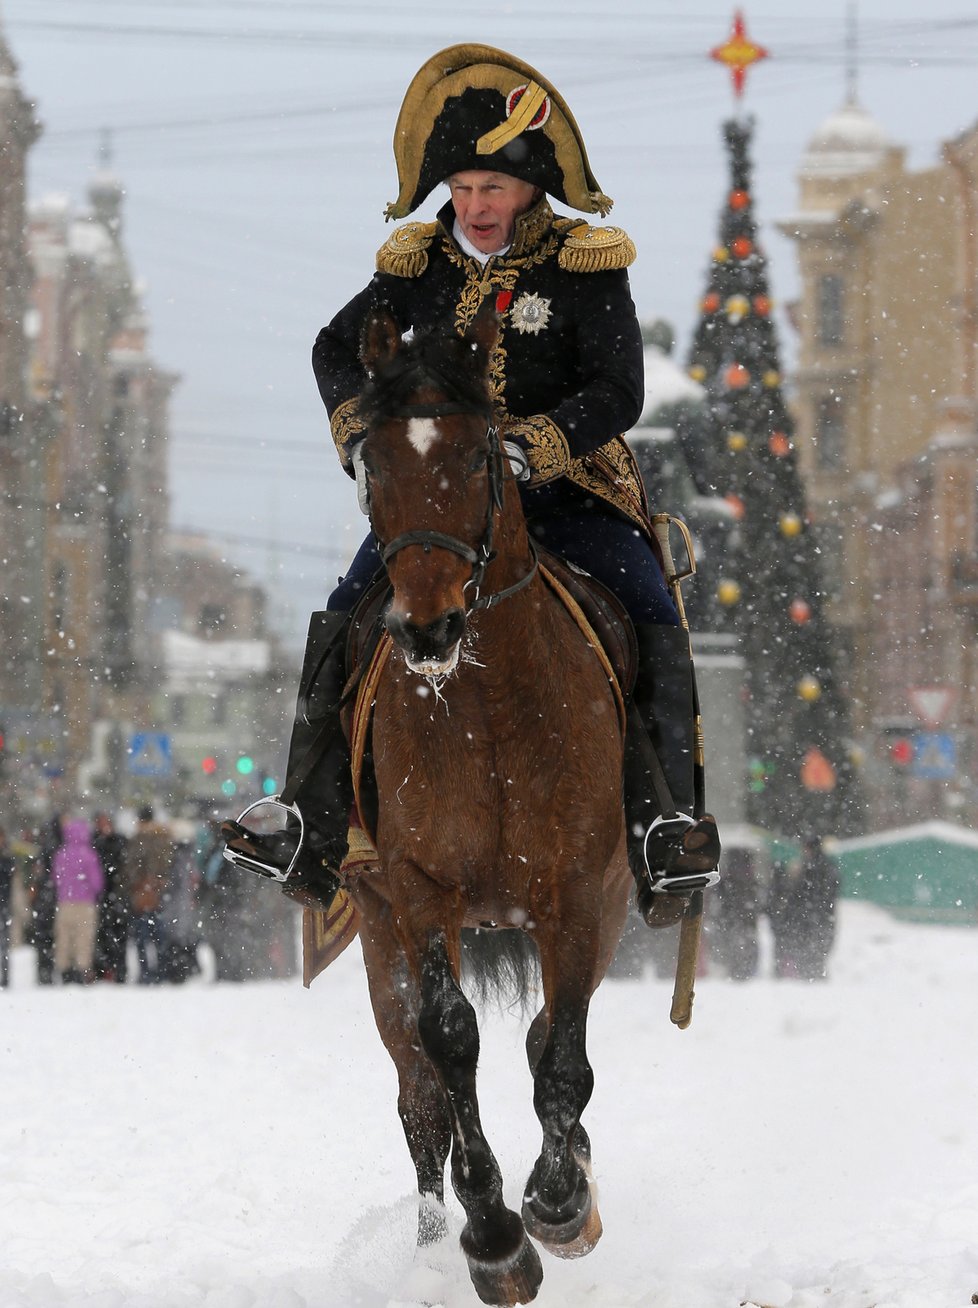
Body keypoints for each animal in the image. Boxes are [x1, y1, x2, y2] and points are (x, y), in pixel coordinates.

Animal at [342, 300, 635, 1302]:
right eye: (374, 462)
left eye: (477, 458)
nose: (426, 627)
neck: (487, 707)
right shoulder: (422, 891)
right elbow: (451, 1040)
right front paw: (494, 1234)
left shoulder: (577, 893)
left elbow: (563, 1054)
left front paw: (558, 1203)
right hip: (379, 935)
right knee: (418, 1097)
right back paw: (437, 1240)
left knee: (549, 1036)